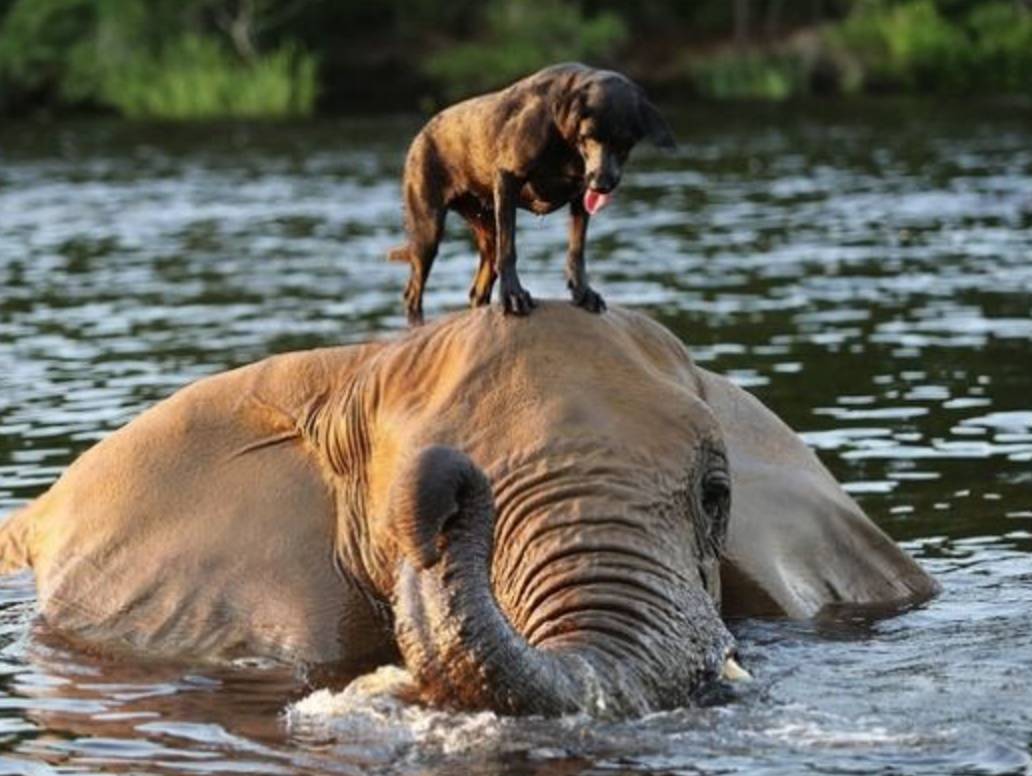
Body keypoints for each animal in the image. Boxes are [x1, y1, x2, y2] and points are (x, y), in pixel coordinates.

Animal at [390, 62, 672, 324]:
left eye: (625, 143)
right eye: (588, 136)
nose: (601, 184)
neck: (565, 139)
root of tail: (421, 133)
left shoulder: (580, 197)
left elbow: (576, 250)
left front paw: (583, 292)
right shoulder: (507, 178)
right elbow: (509, 249)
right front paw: (514, 295)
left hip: (485, 227)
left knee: (478, 288)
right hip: (427, 229)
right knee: (413, 292)